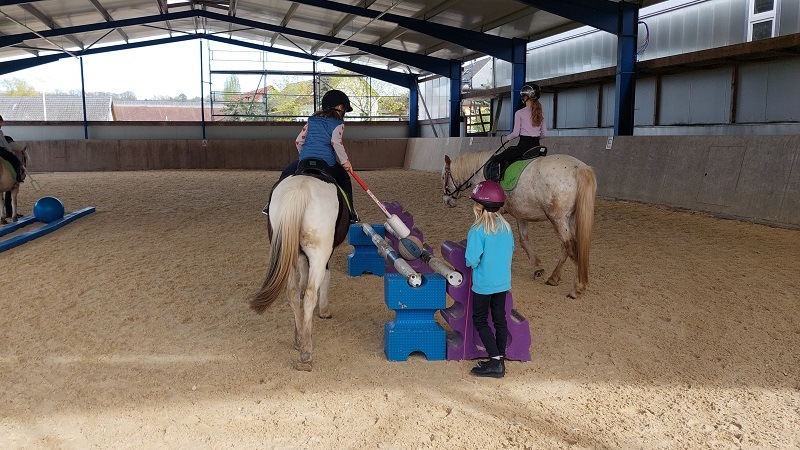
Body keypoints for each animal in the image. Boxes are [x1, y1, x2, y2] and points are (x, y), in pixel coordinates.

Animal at [250, 174, 350, 370]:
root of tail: (301, 188)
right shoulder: (326, 253)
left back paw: (299, 337)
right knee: (311, 295)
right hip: (319, 252)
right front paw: (325, 311)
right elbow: (325, 277)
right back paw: (306, 352)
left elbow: (303, 272)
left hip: (285, 252)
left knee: (292, 292)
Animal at [444, 151, 592, 298]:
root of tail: (579, 168)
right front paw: (535, 265)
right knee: (566, 247)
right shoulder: (521, 213)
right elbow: (523, 240)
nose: (446, 201)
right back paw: (554, 278)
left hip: (558, 219)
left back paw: (577, 288)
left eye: (444, 175)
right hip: (569, 220)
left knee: (570, 248)